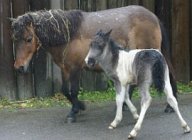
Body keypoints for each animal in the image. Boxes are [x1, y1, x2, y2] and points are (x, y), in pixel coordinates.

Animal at [10, 5, 177, 122]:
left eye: (29, 39)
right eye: (15, 39)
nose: (19, 67)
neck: (69, 34)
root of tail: (154, 17)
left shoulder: (76, 68)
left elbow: (73, 91)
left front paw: (73, 113)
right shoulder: (65, 69)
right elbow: (64, 90)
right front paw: (79, 106)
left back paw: (170, 106)